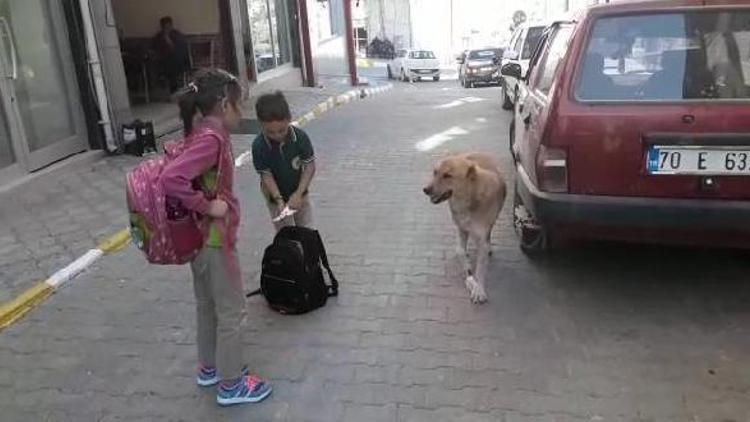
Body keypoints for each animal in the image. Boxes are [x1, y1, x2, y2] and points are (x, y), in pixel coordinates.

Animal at [426, 153, 508, 302]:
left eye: (447, 175)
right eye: (435, 172)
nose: (425, 189)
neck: (470, 196)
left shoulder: (481, 238)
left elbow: (480, 268)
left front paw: (479, 289)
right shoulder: (461, 229)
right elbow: (460, 252)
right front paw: (470, 280)